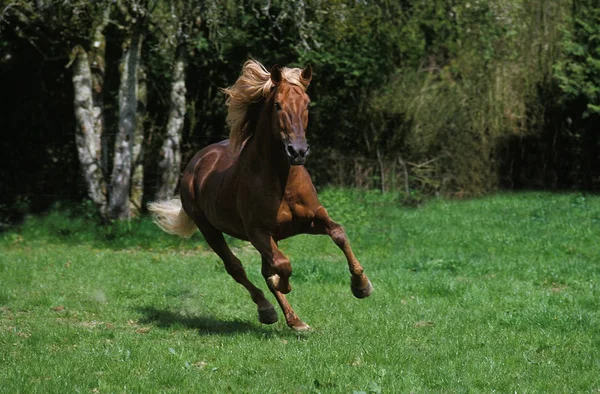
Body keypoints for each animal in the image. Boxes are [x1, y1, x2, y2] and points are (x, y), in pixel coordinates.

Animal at [148, 59, 372, 330]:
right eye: (277, 105)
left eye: (307, 103)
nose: (298, 151)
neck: (282, 182)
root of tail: (197, 162)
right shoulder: (257, 232)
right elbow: (282, 266)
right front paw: (284, 286)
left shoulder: (310, 220)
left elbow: (338, 233)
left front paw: (361, 286)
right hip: (209, 229)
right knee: (236, 267)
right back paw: (267, 310)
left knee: (265, 270)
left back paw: (295, 321)